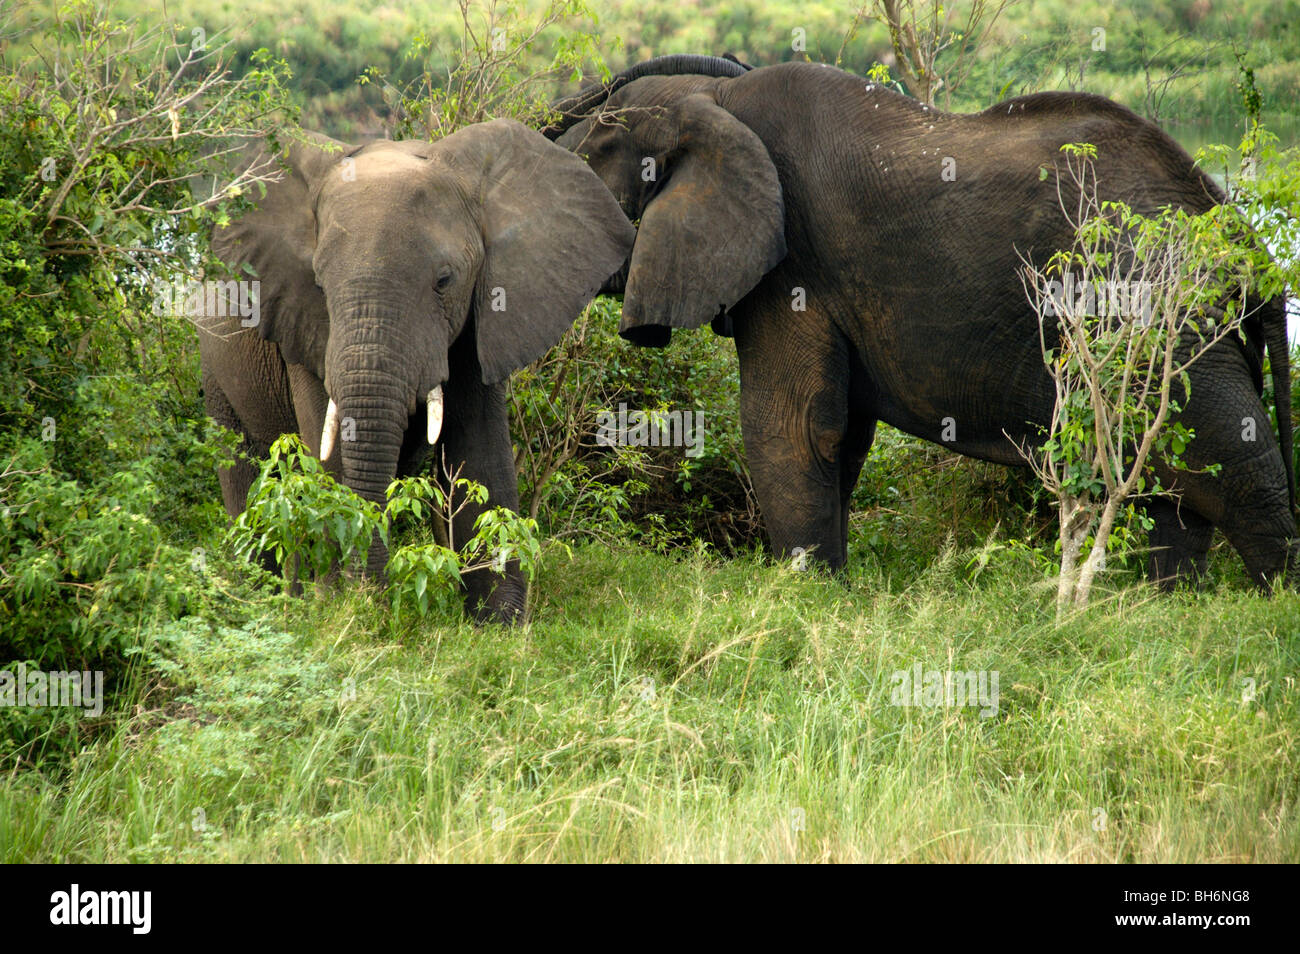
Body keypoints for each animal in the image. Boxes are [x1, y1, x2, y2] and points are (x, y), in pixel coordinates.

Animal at [196, 119, 634, 623]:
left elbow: (478, 446)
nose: (371, 600)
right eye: (320, 284)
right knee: (246, 473)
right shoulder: (301, 323)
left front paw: (501, 625)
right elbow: (331, 453)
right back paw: (263, 598)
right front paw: (336, 612)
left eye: (444, 281)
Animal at [543, 55, 1294, 590]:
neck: (709, 101)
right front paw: (828, 587)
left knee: (1238, 468)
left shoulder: (793, 264)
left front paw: (805, 593)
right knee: (1174, 485)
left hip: (1167, 320)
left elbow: (791, 423)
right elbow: (838, 434)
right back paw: (1159, 605)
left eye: (587, 162)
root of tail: (1244, 239)